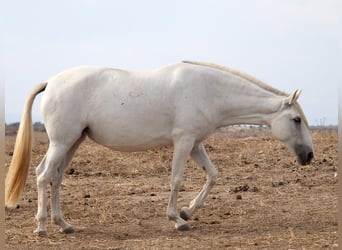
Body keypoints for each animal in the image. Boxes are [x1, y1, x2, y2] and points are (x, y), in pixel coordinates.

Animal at [5, 61, 314, 235]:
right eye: (297, 120)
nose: (309, 155)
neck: (210, 92)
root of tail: (51, 82)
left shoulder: (195, 143)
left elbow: (213, 175)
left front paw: (188, 212)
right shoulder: (184, 141)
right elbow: (176, 180)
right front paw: (178, 220)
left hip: (73, 141)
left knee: (56, 177)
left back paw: (64, 225)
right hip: (62, 141)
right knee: (44, 175)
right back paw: (42, 227)